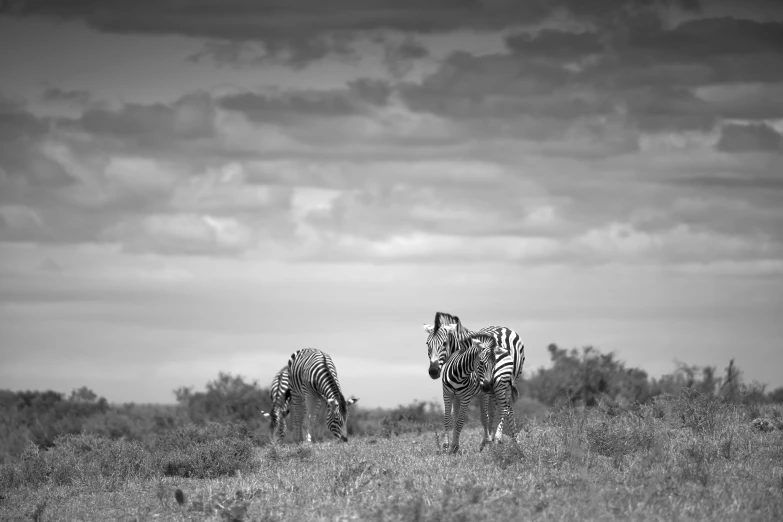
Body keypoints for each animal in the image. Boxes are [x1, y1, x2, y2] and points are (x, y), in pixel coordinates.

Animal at [422, 308, 528, 442]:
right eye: (427, 343)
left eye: (444, 343)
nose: (433, 371)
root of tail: (504, 329)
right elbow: (457, 417)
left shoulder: (480, 390)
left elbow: (482, 416)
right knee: (506, 409)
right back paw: (513, 440)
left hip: (507, 382)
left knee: (504, 409)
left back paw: (501, 438)